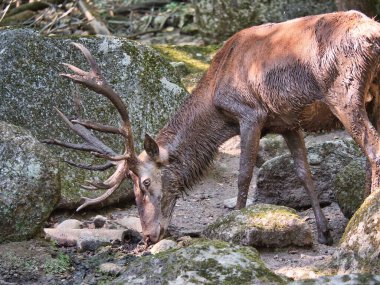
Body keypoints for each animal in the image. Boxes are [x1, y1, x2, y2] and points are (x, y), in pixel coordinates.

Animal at [45, 10, 380, 244]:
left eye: (145, 183)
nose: (148, 236)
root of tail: (372, 35)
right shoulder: (287, 122)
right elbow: (304, 174)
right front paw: (324, 233)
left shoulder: (251, 113)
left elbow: (244, 175)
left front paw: (238, 225)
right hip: (371, 98)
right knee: (367, 152)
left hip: (344, 93)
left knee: (373, 149)